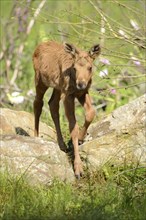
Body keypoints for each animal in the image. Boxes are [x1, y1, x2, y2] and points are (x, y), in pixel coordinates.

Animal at [32, 40, 100, 179]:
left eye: (90, 67)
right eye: (75, 68)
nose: (81, 83)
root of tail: (39, 45)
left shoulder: (82, 92)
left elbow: (91, 113)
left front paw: (81, 138)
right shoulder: (68, 95)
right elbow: (73, 127)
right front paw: (78, 169)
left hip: (58, 87)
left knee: (52, 104)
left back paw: (62, 145)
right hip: (40, 80)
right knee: (37, 103)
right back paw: (36, 136)